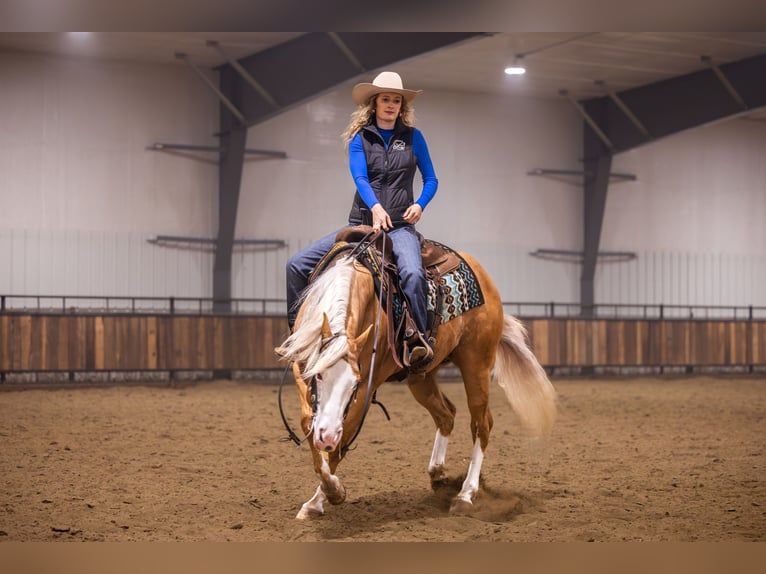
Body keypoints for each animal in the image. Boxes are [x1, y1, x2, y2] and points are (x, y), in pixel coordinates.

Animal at [275, 233, 557, 519]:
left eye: (354, 384)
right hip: (421, 377)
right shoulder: (302, 371)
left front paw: (330, 492)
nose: (328, 436)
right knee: (446, 415)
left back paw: (465, 494)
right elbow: (307, 423)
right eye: (319, 376)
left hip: (476, 364)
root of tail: (485, 279)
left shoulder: (366, 387)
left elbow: (342, 440)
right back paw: (438, 474)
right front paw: (316, 499)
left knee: (481, 424)